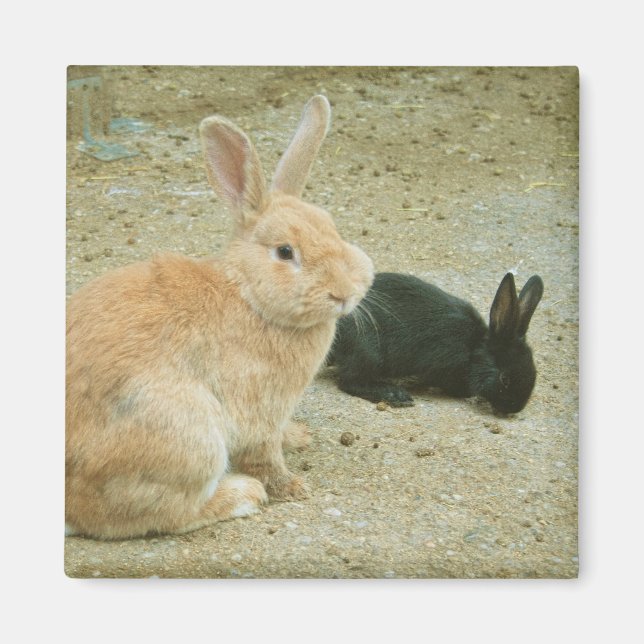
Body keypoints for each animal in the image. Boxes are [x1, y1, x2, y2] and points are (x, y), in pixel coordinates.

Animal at [65, 95, 374, 540]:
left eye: (332, 226)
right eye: (285, 252)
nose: (345, 292)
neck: (247, 294)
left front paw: (299, 437)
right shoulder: (259, 408)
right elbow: (266, 455)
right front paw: (292, 488)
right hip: (189, 434)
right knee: (149, 515)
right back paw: (243, 496)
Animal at [328, 271, 544, 413]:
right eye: (504, 379)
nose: (514, 408)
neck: (473, 348)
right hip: (369, 354)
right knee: (349, 381)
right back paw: (395, 395)